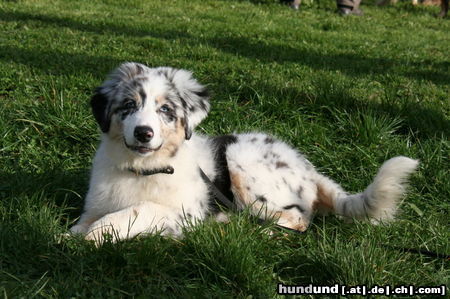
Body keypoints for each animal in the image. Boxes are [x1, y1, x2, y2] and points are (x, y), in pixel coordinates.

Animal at [70, 62, 418, 244]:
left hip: (244, 168)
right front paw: (72, 236)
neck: (142, 168)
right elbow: (86, 221)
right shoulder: (96, 203)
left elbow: (139, 210)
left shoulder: (186, 212)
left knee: (297, 220)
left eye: (166, 110)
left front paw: (97, 235)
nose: (144, 133)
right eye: (128, 106)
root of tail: (308, 169)